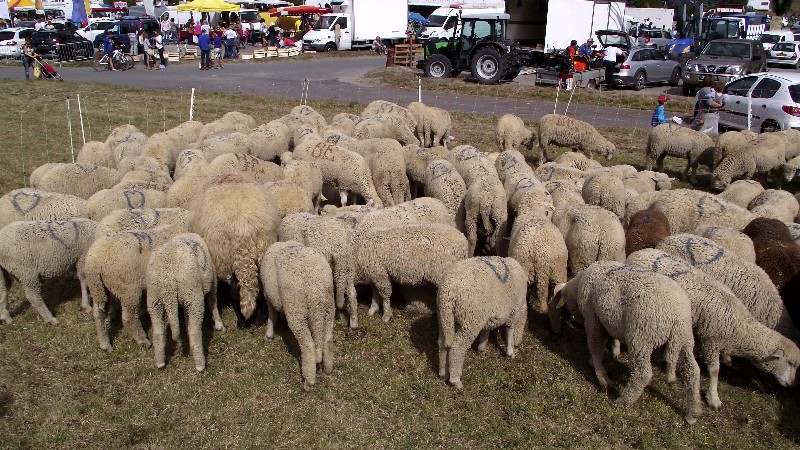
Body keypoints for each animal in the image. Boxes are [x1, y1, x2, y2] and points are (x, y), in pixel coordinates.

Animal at [146, 233, 224, 372]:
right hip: (193, 296)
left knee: (158, 332)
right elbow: (213, 302)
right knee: (195, 331)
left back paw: (160, 363)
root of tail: (168, 278)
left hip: (155, 300)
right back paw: (200, 364)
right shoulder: (213, 281)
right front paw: (219, 324)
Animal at [260, 241, 335, 390]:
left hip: (296, 310)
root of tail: (314, 287)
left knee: (308, 346)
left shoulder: (267, 294)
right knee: (327, 340)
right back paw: (327, 371)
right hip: (328, 306)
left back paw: (308, 382)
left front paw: (269, 334)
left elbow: (271, 314)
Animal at [437, 257, 527, 388]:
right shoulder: (514, 310)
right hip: (470, 320)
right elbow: (509, 330)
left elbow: (486, 329)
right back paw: (455, 380)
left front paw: (482, 346)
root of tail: (449, 289)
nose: (518, 348)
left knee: (443, 343)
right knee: (457, 347)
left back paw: (443, 373)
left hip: (444, 317)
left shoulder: (488, 314)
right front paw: (510, 352)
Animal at [549, 261, 702, 424]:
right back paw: (692, 414)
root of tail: (678, 316)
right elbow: (603, 342)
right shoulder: (606, 320)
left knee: (643, 373)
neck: (577, 288)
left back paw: (624, 400)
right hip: (685, 340)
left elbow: (595, 345)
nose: (568, 320)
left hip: (641, 337)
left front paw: (601, 376)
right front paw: (596, 361)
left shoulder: (592, 318)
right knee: (692, 371)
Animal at [626, 249, 800, 410]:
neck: (740, 326)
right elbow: (715, 371)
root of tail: (639, 253)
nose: (792, 385)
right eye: (790, 362)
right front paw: (713, 398)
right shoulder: (712, 341)